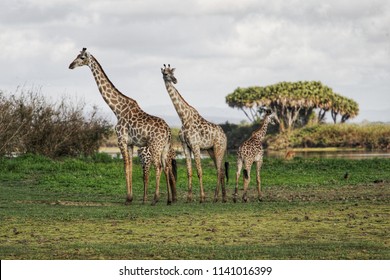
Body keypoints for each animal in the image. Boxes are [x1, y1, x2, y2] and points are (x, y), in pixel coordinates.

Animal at [69, 48, 174, 205]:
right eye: (76, 56)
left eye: (81, 57)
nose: (70, 65)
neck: (117, 110)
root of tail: (168, 131)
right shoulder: (130, 143)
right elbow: (130, 167)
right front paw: (130, 197)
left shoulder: (121, 140)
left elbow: (125, 167)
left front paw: (128, 198)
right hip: (164, 147)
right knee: (166, 167)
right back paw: (168, 200)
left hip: (155, 146)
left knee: (159, 166)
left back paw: (155, 199)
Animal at [161, 64, 229, 202]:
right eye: (165, 73)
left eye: (172, 73)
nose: (175, 80)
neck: (183, 118)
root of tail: (225, 136)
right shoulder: (185, 146)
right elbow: (189, 171)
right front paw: (189, 197)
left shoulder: (196, 145)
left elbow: (199, 171)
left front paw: (202, 197)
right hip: (211, 150)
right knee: (221, 170)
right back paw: (223, 197)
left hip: (219, 148)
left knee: (219, 170)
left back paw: (215, 197)